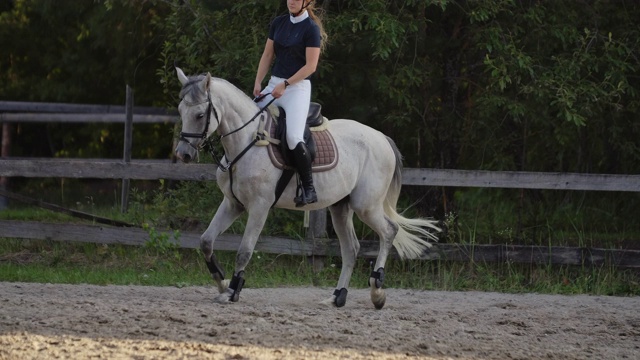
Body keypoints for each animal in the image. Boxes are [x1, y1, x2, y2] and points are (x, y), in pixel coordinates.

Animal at [172, 68, 438, 310]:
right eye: (181, 111)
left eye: (199, 114)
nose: (183, 154)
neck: (247, 141)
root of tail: (382, 138)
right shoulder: (233, 203)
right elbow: (206, 241)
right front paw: (222, 283)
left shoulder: (259, 207)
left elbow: (244, 251)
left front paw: (232, 291)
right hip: (340, 207)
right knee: (351, 249)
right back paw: (337, 297)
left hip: (366, 206)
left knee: (389, 231)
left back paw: (377, 292)